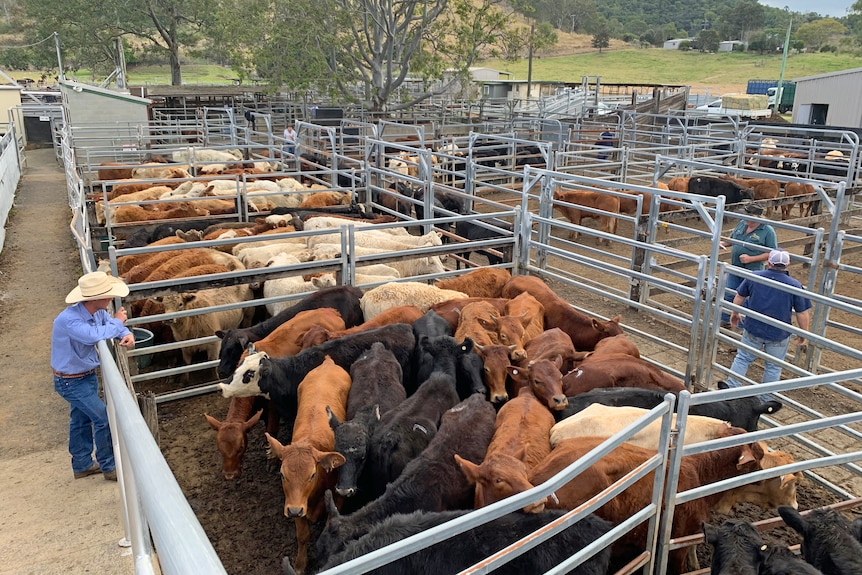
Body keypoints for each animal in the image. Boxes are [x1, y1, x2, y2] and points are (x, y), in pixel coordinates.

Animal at [268, 358, 352, 572]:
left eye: (312, 475)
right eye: (282, 474)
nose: (294, 511)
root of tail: (328, 362)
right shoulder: (295, 501)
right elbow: (303, 535)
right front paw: (299, 564)